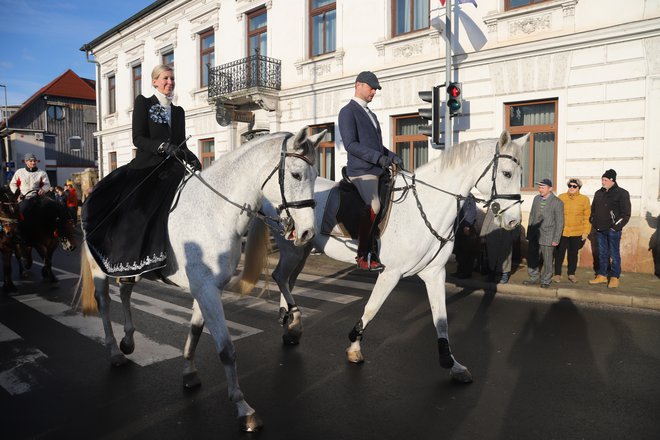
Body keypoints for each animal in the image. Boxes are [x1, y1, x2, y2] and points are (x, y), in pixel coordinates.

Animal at [77, 126, 324, 430]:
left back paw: (129, 341)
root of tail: (91, 192)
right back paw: (114, 351)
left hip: (129, 268)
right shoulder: (206, 289)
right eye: (296, 175)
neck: (214, 211)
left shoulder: (207, 288)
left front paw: (189, 373)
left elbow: (195, 331)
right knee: (105, 304)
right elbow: (226, 349)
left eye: (316, 175)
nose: (308, 234)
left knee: (125, 293)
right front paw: (243, 408)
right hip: (100, 269)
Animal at [242, 130, 524, 382]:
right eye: (507, 173)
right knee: (280, 276)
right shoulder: (391, 273)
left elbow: (441, 319)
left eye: (521, 174)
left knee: (288, 280)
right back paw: (294, 321)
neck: (426, 206)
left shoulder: (434, 273)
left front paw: (451, 363)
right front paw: (354, 347)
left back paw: (290, 326)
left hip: (302, 248)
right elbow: (372, 308)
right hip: (293, 249)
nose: (513, 221)